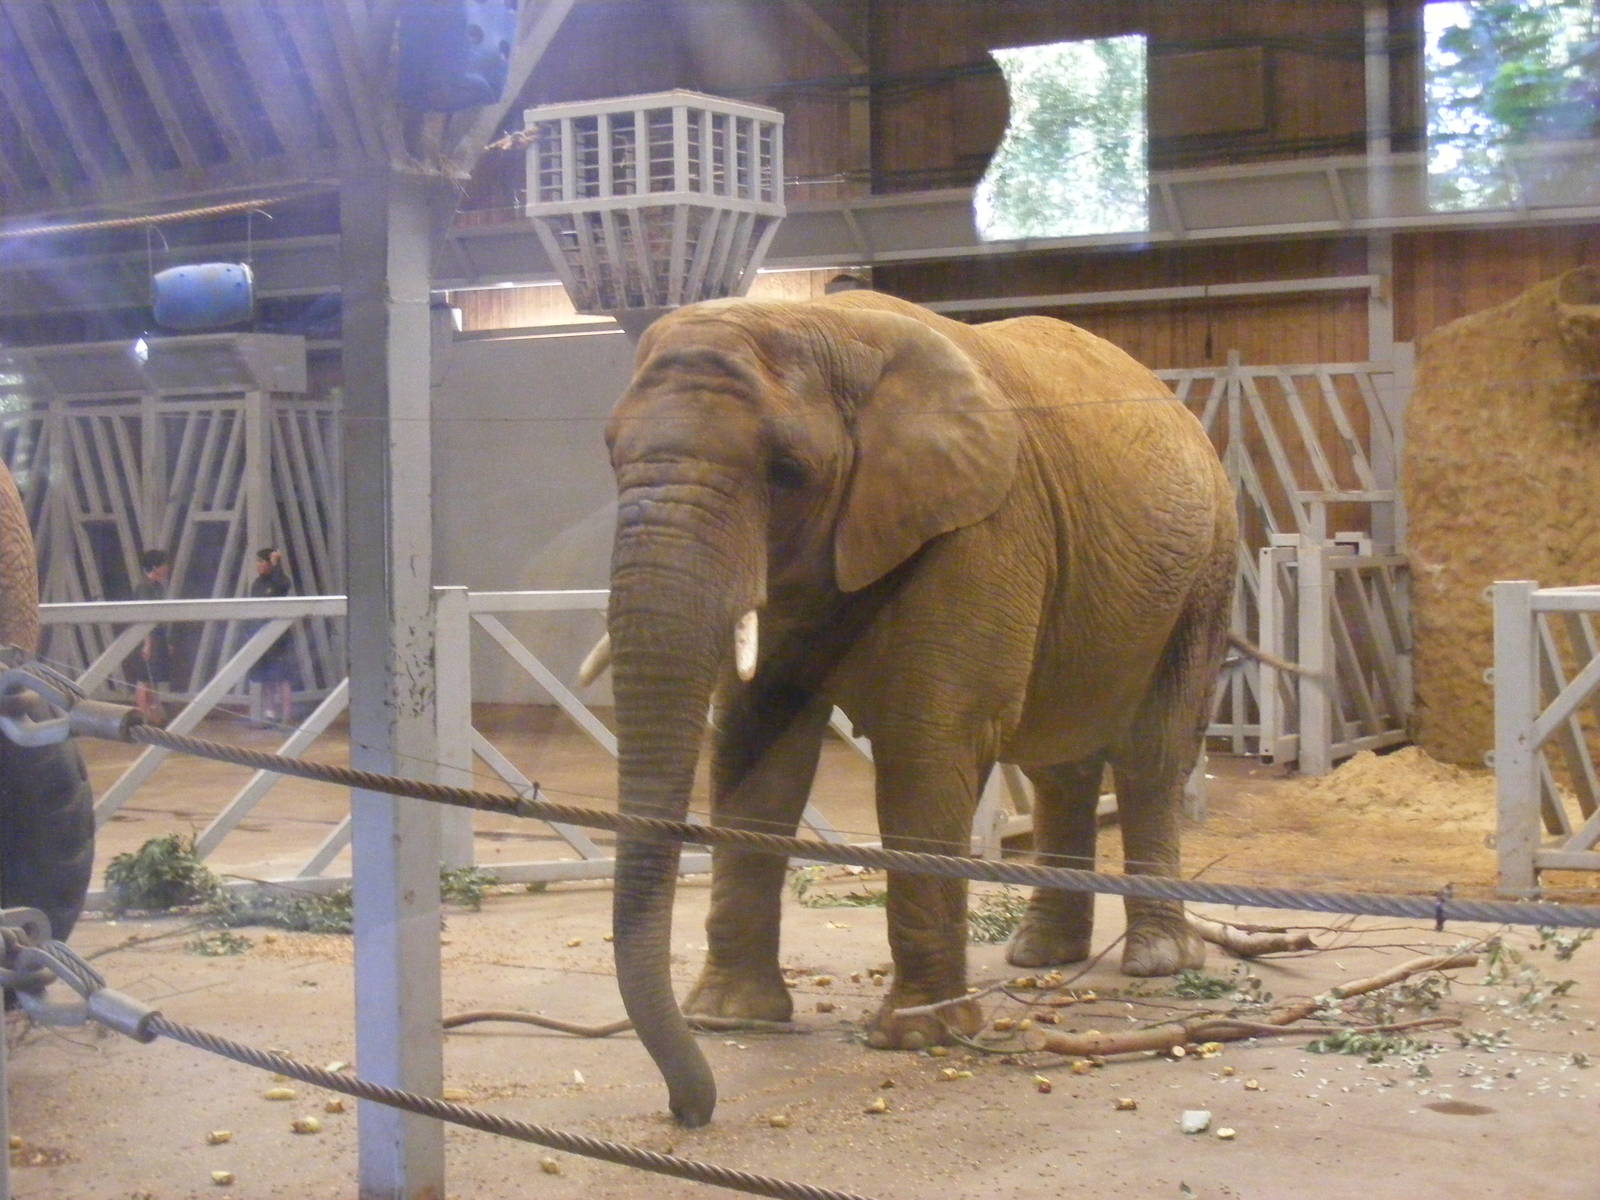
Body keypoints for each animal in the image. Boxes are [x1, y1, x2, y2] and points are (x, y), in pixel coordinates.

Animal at [600, 290, 1236, 1126]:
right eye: (610, 454)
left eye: (787, 471)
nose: (690, 1109)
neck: (819, 326)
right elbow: (755, 745)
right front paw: (731, 1018)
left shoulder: (982, 528)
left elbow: (929, 745)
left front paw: (917, 1037)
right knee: (1061, 762)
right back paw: (1041, 955)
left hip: (1206, 570)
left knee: (1151, 756)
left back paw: (1157, 961)